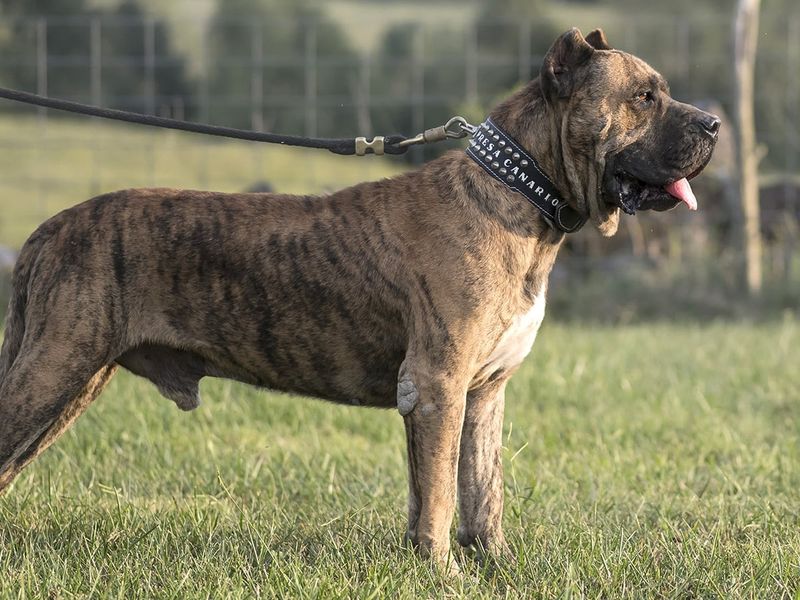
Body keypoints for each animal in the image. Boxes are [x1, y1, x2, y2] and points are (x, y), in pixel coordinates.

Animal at [0, 28, 720, 568]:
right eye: (645, 97)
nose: (714, 123)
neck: (521, 195)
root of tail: (43, 233)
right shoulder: (437, 384)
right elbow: (439, 495)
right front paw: (441, 572)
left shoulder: (483, 393)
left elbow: (480, 491)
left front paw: (494, 564)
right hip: (55, 367)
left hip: (72, 378)